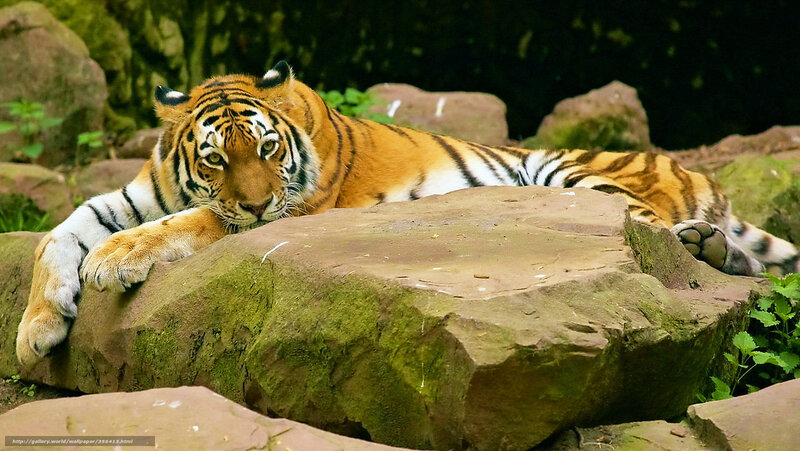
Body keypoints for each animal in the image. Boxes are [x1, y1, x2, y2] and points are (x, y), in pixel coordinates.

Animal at [16, 61, 800, 365]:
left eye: (267, 149)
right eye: (215, 158)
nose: (260, 197)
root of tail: (697, 168)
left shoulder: (290, 208)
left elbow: (192, 225)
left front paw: (114, 260)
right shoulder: (134, 195)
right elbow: (56, 235)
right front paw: (36, 331)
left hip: (570, 172)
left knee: (650, 231)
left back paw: (697, 242)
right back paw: (713, 247)